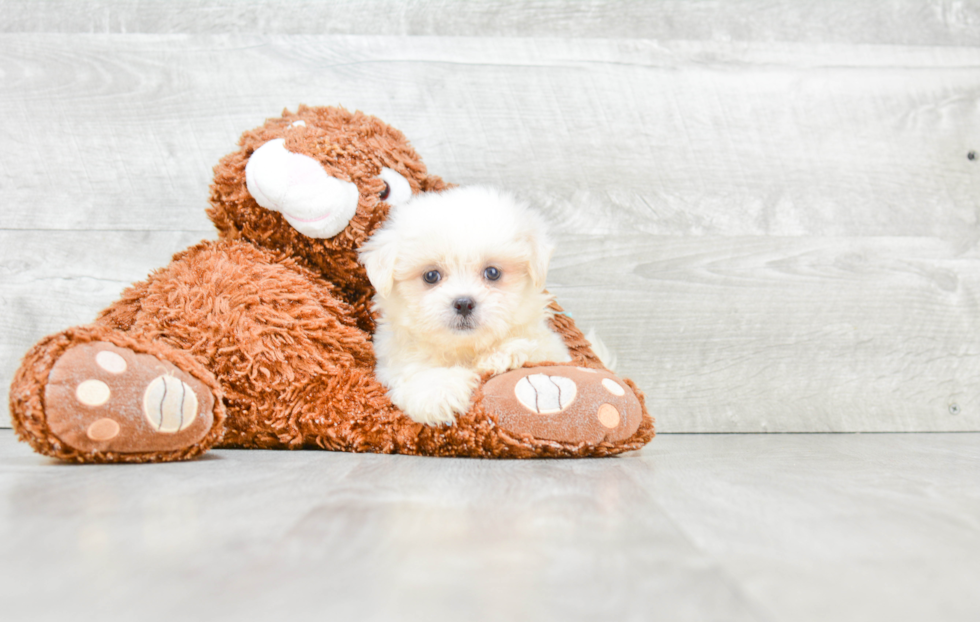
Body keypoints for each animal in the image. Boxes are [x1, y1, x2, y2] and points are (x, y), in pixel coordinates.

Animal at [360, 188, 576, 426]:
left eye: (492, 272)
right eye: (431, 276)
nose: (464, 303)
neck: (465, 350)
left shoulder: (552, 349)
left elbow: (537, 350)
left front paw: (503, 354)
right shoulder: (394, 361)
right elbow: (416, 371)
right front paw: (437, 393)